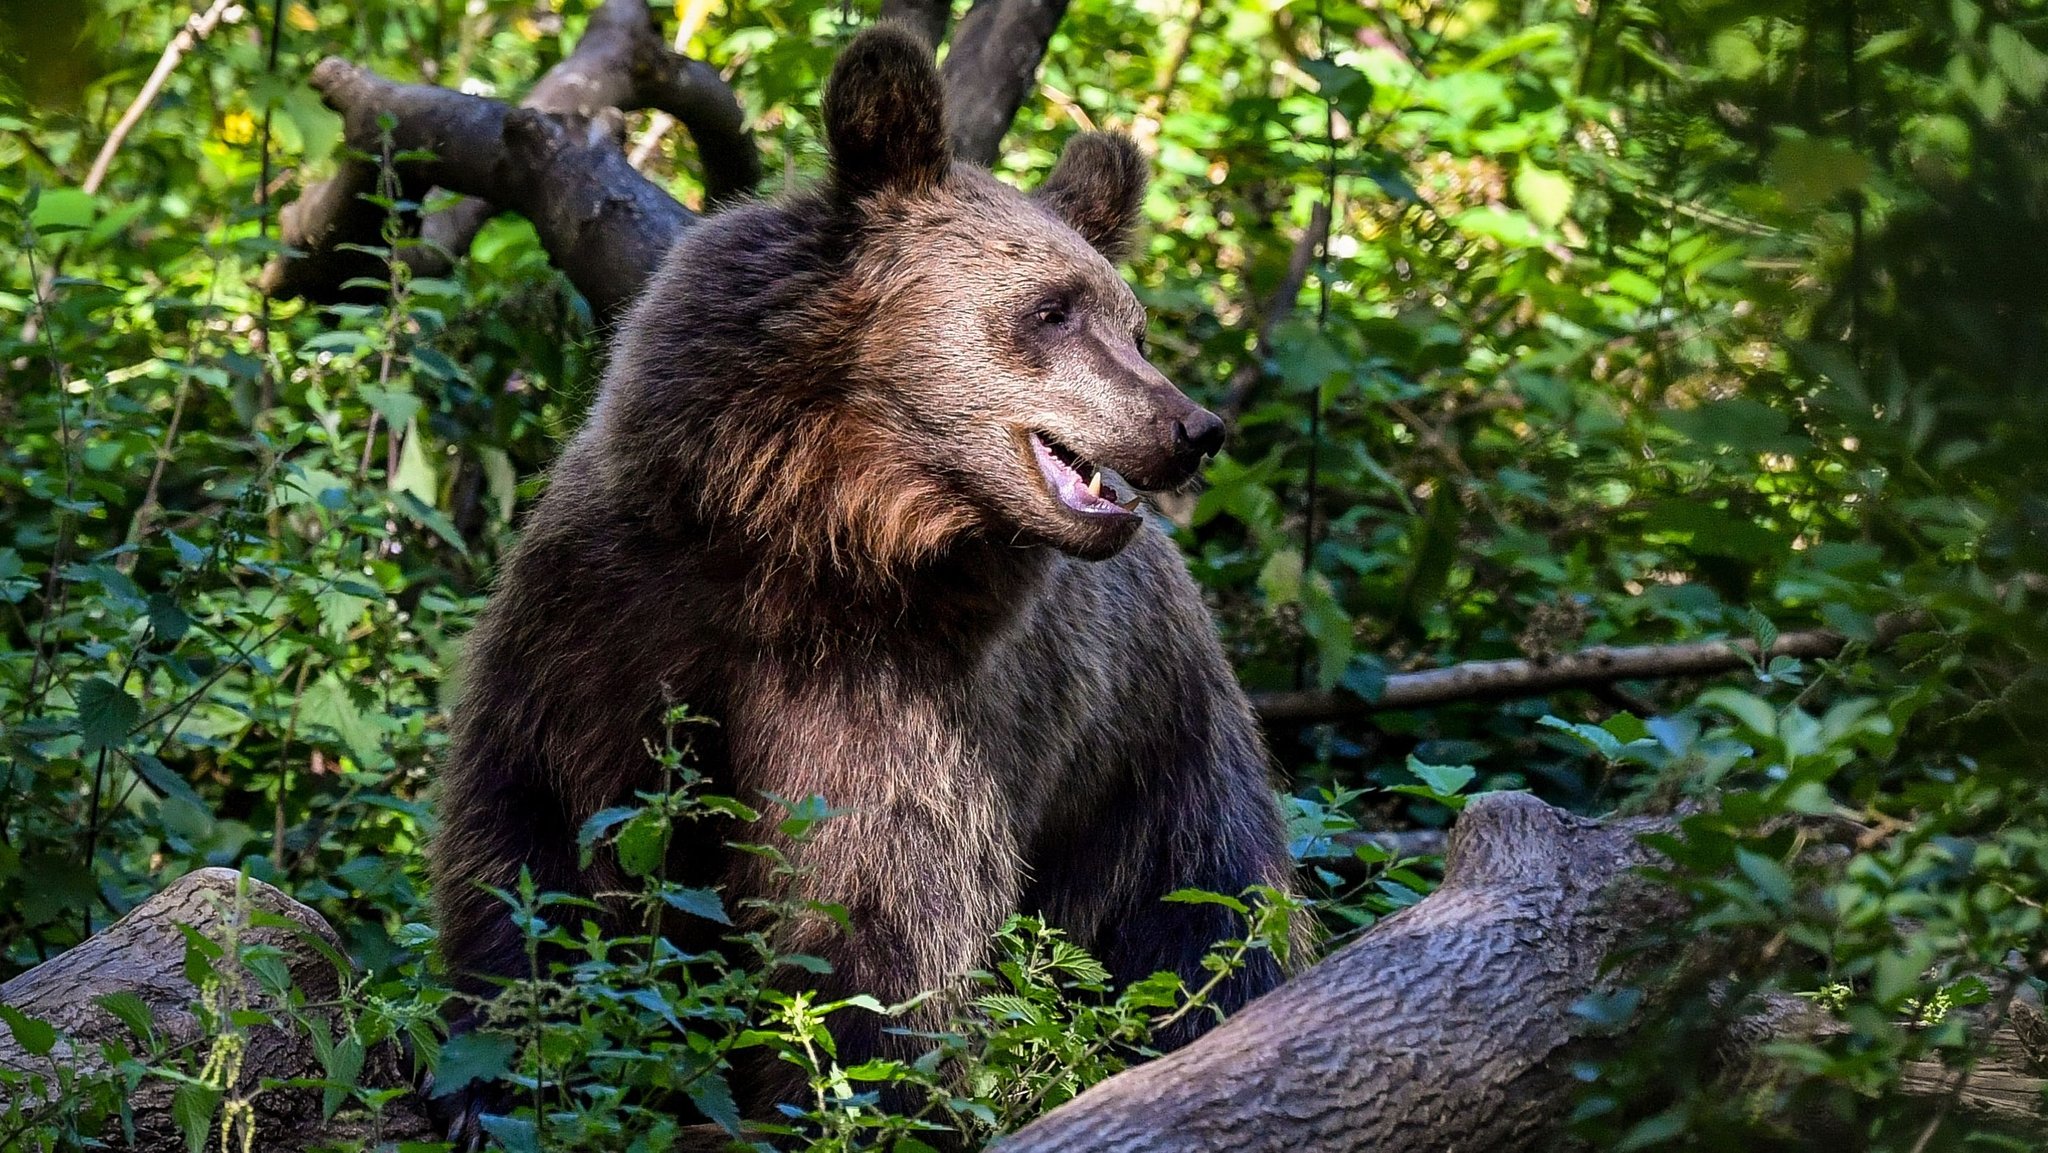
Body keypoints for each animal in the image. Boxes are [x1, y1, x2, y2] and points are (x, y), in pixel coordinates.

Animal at [430, 18, 1286, 1130]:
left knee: (1204, 921)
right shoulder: (610, 609)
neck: (802, 540)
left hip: (1149, 760)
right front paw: (491, 1067)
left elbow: (874, 904)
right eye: (1053, 309)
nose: (1189, 426)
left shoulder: (895, 692)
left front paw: (851, 1091)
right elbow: (539, 829)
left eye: (1129, 323)